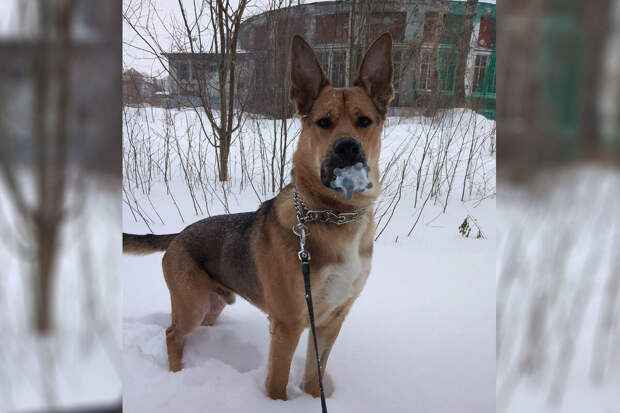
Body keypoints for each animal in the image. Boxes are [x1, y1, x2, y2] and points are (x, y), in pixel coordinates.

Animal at [122, 32, 392, 400]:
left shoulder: (331, 320)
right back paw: (177, 372)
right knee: (172, 333)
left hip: (213, 304)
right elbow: (277, 382)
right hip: (193, 303)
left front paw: (313, 399)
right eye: (324, 122)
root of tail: (179, 235)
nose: (347, 147)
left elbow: (315, 376)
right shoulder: (288, 324)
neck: (334, 215)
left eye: (364, 121)